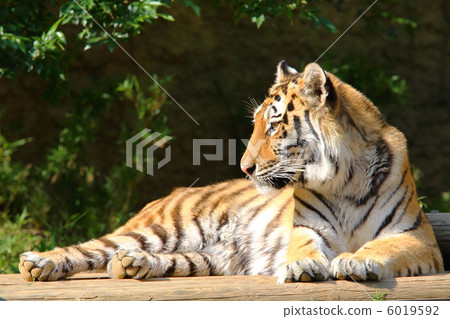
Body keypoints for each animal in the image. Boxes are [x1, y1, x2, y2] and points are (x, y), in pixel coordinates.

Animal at [18, 62, 442, 282]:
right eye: (256, 124)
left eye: (273, 127)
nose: (245, 168)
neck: (343, 181)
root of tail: (170, 192)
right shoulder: (307, 228)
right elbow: (304, 247)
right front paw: (304, 266)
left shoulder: (416, 236)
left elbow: (382, 246)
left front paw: (353, 261)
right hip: (165, 229)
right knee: (90, 248)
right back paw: (37, 263)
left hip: (206, 258)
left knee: (133, 259)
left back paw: (131, 265)